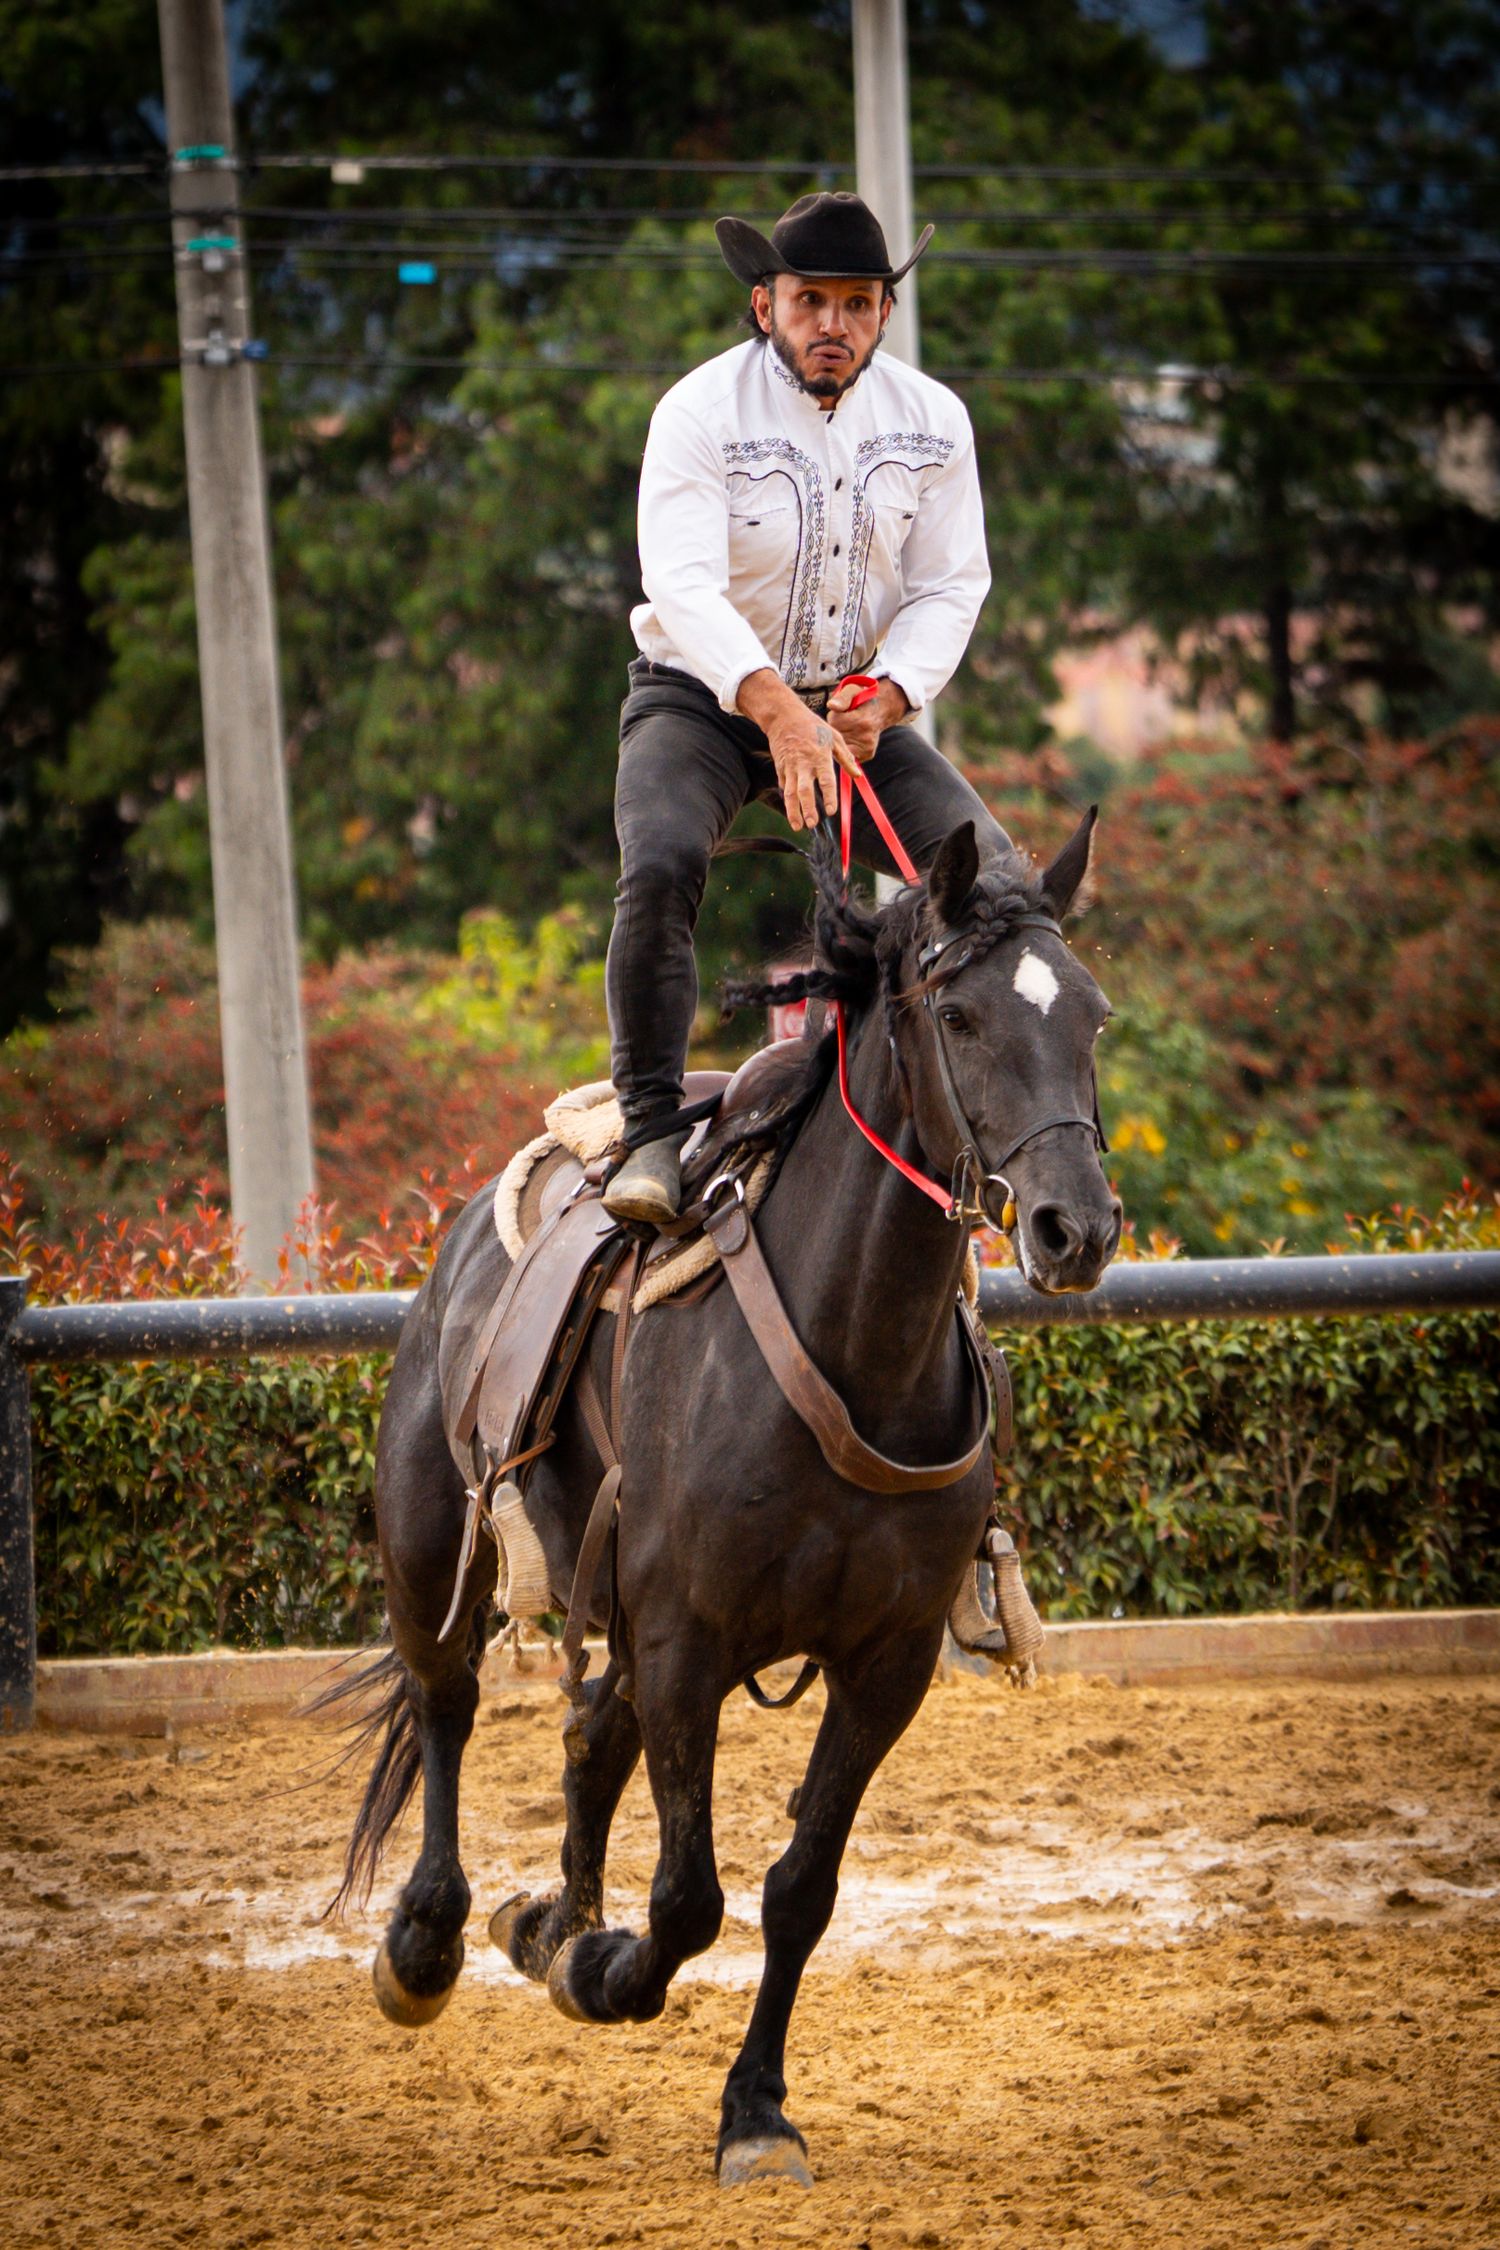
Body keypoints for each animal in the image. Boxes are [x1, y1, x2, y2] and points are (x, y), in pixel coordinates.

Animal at [330, 809, 1121, 2187]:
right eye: (960, 1015)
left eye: (1091, 1014)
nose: (1077, 1229)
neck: (855, 1351)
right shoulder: (690, 1638)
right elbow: (690, 1895)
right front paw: (604, 1971)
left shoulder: (884, 1662)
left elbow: (799, 1887)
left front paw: (752, 2108)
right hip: (435, 1544)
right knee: (447, 1703)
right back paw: (429, 1939)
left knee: (591, 1736)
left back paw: (550, 1920)